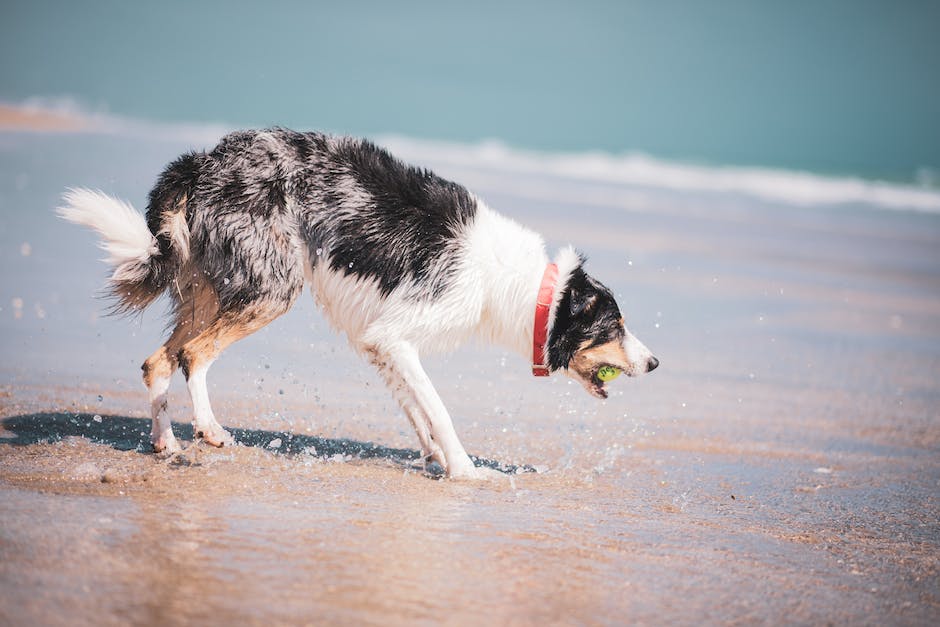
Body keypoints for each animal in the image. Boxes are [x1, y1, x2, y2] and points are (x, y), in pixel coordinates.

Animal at [60, 129, 660, 480]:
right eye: (614, 325)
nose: (655, 363)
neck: (525, 287)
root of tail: (203, 161)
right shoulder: (396, 336)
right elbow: (439, 410)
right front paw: (467, 472)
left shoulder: (378, 341)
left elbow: (418, 413)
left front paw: (436, 461)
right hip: (270, 289)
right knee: (193, 355)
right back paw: (209, 430)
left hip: (215, 286)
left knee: (156, 361)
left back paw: (166, 445)